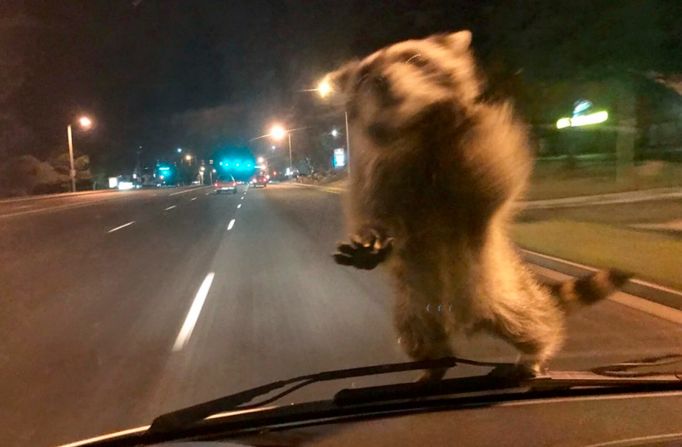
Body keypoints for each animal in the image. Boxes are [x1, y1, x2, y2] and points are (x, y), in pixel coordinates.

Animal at [324, 30, 628, 378]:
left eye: (414, 59)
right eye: (364, 76)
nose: (381, 80)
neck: (413, 128)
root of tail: (464, 322)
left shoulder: (480, 149)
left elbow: (491, 176)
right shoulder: (374, 172)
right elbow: (374, 215)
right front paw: (370, 239)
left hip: (503, 292)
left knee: (531, 322)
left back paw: (535, 353)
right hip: (413, 309)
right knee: (419, 339)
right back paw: (433, 367)